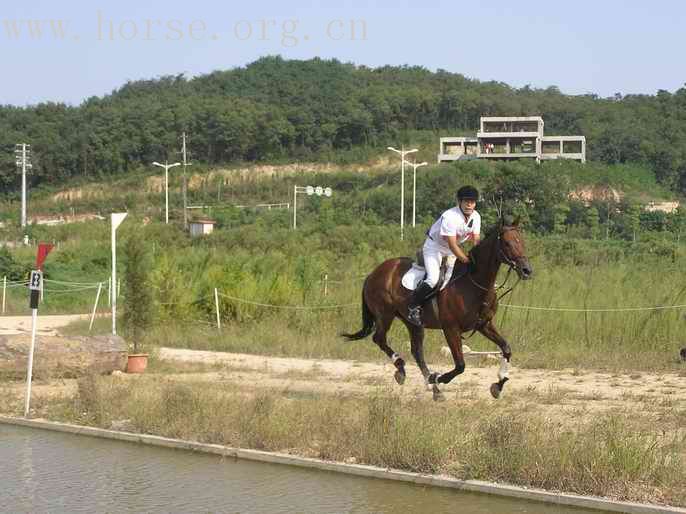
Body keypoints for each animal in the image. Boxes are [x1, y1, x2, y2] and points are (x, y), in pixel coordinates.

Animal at [342, 216, 532, 400]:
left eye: (522, 241)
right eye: (507, 243)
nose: (527, 270)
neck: (474, 283)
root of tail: (373, 273)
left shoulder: (483, 325)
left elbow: (506, 349)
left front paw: (498, 384)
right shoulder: (451, 328)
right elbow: (460, 365)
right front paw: (437, 378)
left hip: (412, 323)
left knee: (417, 351)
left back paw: (431, 385)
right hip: (385, 315)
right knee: (379, 339)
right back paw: (404, 370)